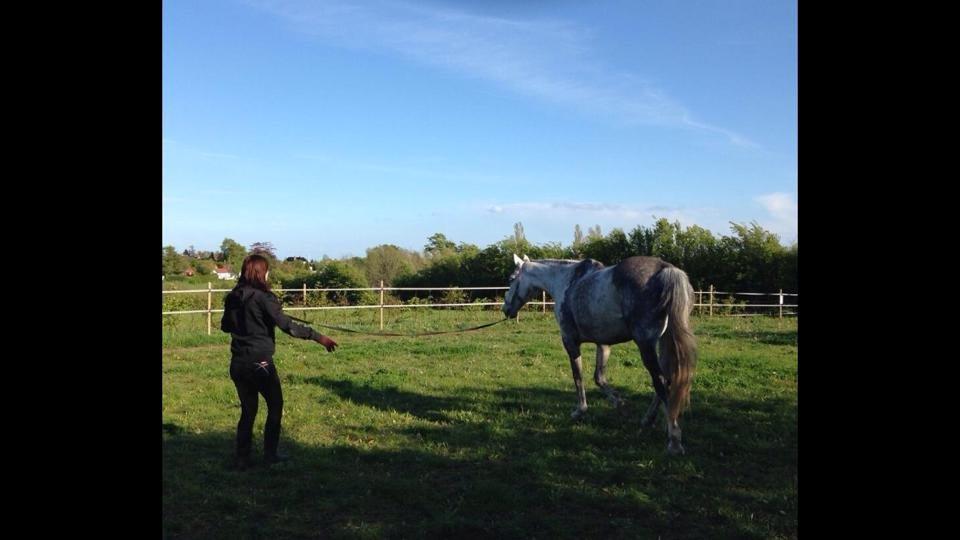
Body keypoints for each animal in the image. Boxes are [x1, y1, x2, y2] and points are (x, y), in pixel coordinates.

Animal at [502, 254, 696, 456]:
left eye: (511, 279)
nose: (506, 309)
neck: (567, 281)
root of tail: (666, 269)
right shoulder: (603, 344)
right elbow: (599, 378)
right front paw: (621, 404)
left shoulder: (570, 341)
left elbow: (578, 376)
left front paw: (580, 410)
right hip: (664, 341)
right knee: (667, 380)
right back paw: (648, 420)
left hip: (646, 345)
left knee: (660, 381)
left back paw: (674, 440)